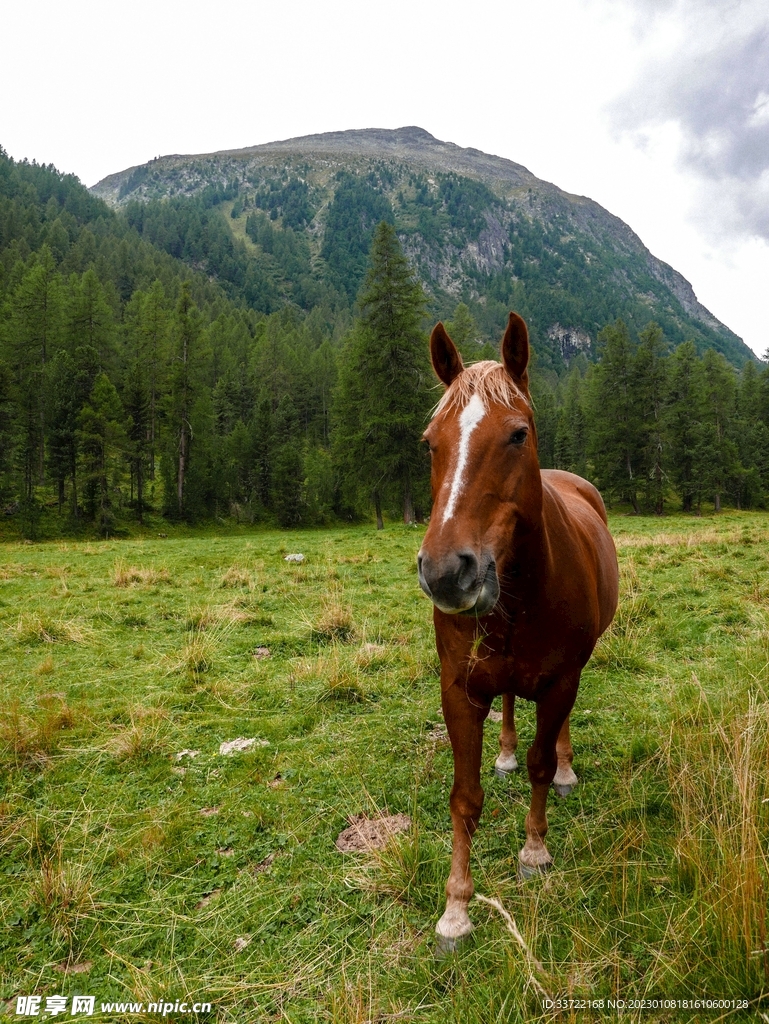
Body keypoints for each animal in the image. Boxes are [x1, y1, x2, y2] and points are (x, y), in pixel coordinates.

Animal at [417, 311, 619, 952]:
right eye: (430, 442)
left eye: (518, 435)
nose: (446, 571)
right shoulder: (459, 692)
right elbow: (464, 797)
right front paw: (456, 909)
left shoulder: (559, 682)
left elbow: (539, 764)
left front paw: (534, 851)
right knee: (508, 703)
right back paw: (503, 751)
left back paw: (566, 769)